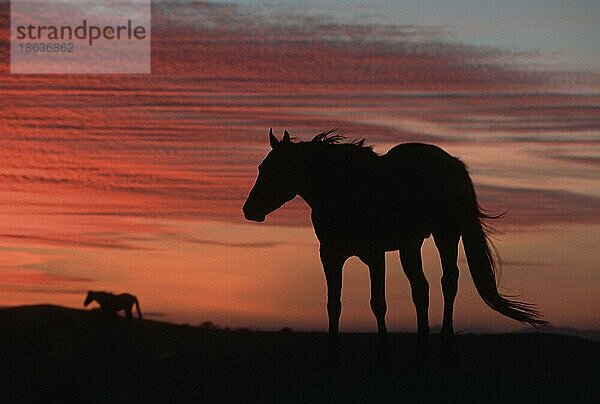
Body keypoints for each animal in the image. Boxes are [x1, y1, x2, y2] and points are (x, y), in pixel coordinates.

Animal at [243, 132, 544, 354]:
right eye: (261, 168)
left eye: (276, 170)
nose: (249, 210)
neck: (344, 190)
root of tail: (452, 162)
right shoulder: (330, 255)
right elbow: (333, 303)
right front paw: (332, 353)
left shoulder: (374, 254)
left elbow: (378, 302)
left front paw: (384, 351)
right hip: (410, 246)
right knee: (421, 288)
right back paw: (422, 346)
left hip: (446, 234)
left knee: (448, 281)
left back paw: (445, 341)